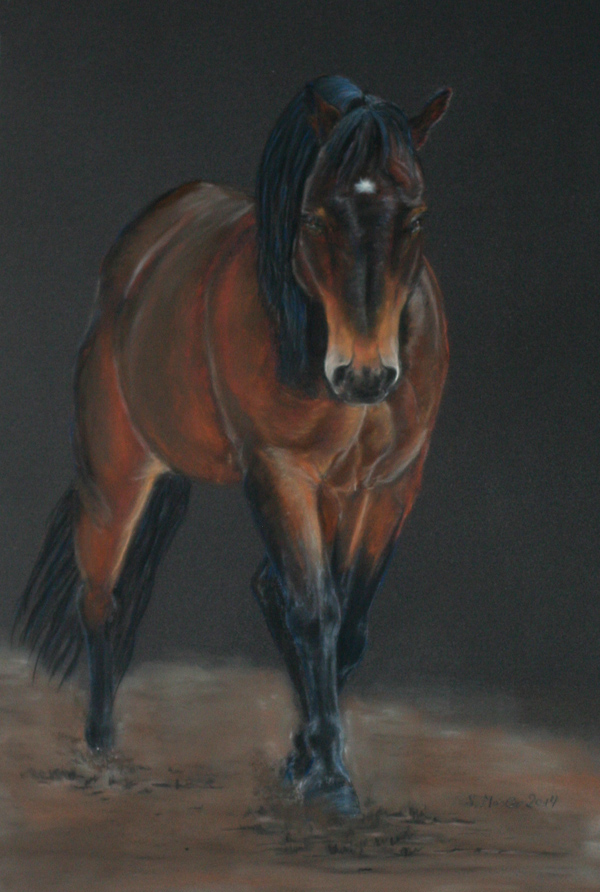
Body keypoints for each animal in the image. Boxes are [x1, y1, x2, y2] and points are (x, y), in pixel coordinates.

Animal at [14, 75, 451, 815]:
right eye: (314, 219)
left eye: (415, 217)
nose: (364, 375)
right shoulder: (278, 474)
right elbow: (315, 612)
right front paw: (329, 777)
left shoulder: (394, 485)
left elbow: (347, 624)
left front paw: (307, 759)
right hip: (116, 475)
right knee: (102, 600)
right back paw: (100, 747)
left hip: (332, 495)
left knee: (270, 590)